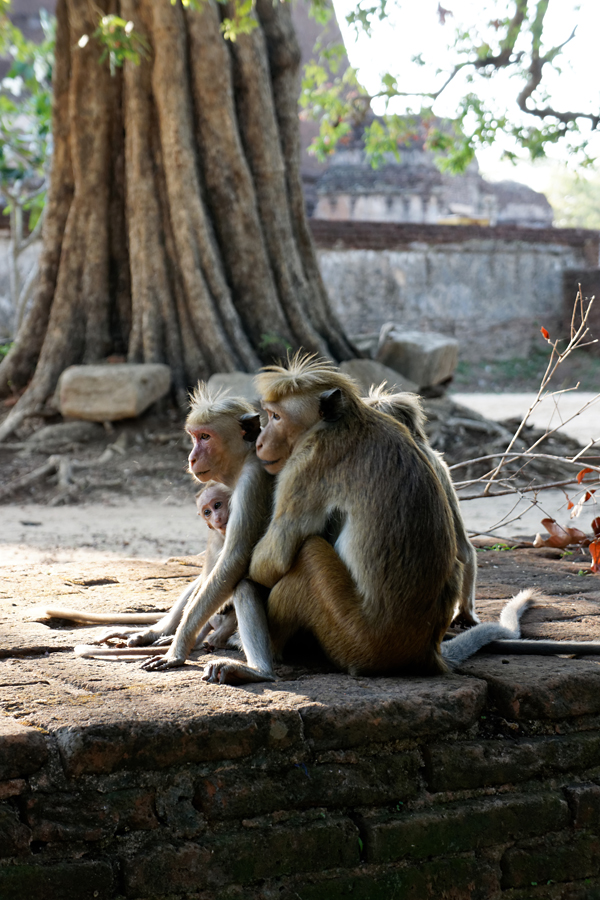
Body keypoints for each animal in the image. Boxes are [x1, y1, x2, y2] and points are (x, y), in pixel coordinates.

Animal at [251, 354, 462, 676]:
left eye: (276, 417)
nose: (260, 441)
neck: (339, 423)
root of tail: (424, 651)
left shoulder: (305, 466)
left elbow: (275, 558)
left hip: (354, 635)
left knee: (310, 554)